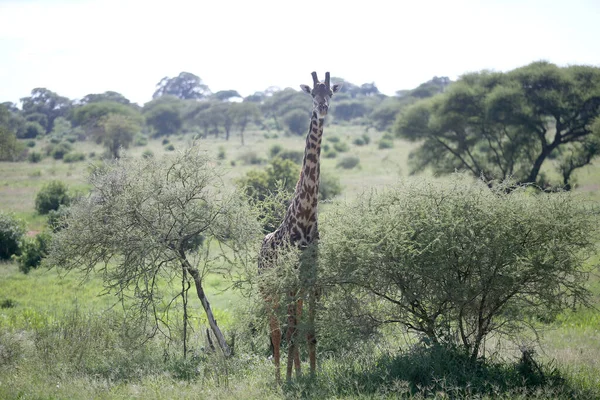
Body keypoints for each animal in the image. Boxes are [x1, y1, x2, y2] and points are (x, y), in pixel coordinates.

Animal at [258, 71, 342, 382]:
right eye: (312, 94)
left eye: (330, 92)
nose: (323, 108)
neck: (306, 217)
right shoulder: (291, 279)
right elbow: (290, 330)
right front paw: (290, 380)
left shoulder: (310, 278)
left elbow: (310, 330)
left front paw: (313, 376)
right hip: (268, 287)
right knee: (276, 330)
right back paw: (279, 377)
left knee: (289, 325)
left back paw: (294, 371)